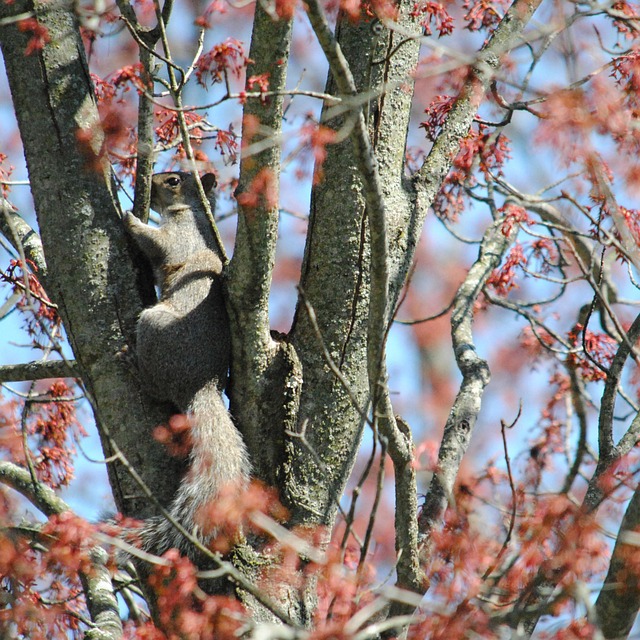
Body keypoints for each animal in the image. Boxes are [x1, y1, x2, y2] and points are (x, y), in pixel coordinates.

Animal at [124, 171, 250, 560]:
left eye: (174, 180)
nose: (147, 180)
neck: (192, 210)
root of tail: (200, 385)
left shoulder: (181, 237)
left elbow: (158, 244)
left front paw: (130, 218)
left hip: (153, 326)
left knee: (154, 387)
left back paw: (132, 364)